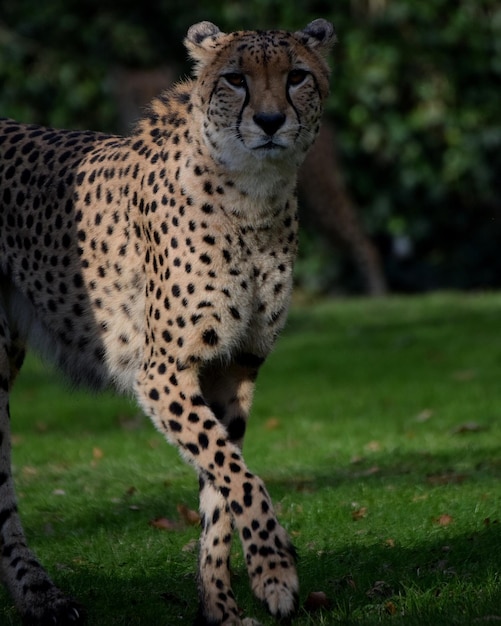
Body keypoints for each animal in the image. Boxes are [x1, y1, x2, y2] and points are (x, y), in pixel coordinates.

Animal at [0, 19, 336, 624]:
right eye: (235, 79)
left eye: (297, 76)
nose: (270, 121)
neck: (254, 198)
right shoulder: (161, 373)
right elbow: (237, 474)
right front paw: (274, 568)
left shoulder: (234, 366)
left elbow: (220, 481)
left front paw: (220, 605)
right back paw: (42, 595)